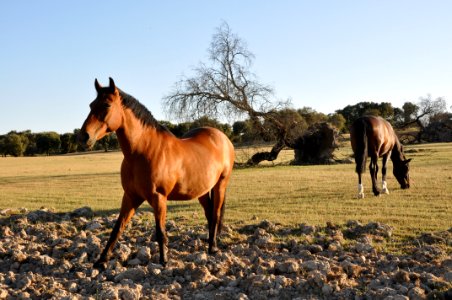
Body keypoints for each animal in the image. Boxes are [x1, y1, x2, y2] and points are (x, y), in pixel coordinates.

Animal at [78, 77, 235, 268]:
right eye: (91, 105)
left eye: (107, 105)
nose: (84, 137)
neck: (143, 151)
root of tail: (222, 137)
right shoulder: (130, 197)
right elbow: (117, 228)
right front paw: (101, 261)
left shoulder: (159, 198)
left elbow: (160, 232)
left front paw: (164, 261)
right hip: (202, 190)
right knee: (210, 214)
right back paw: (210, 244)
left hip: (221, 184)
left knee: (216, 214)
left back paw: (213, 248)